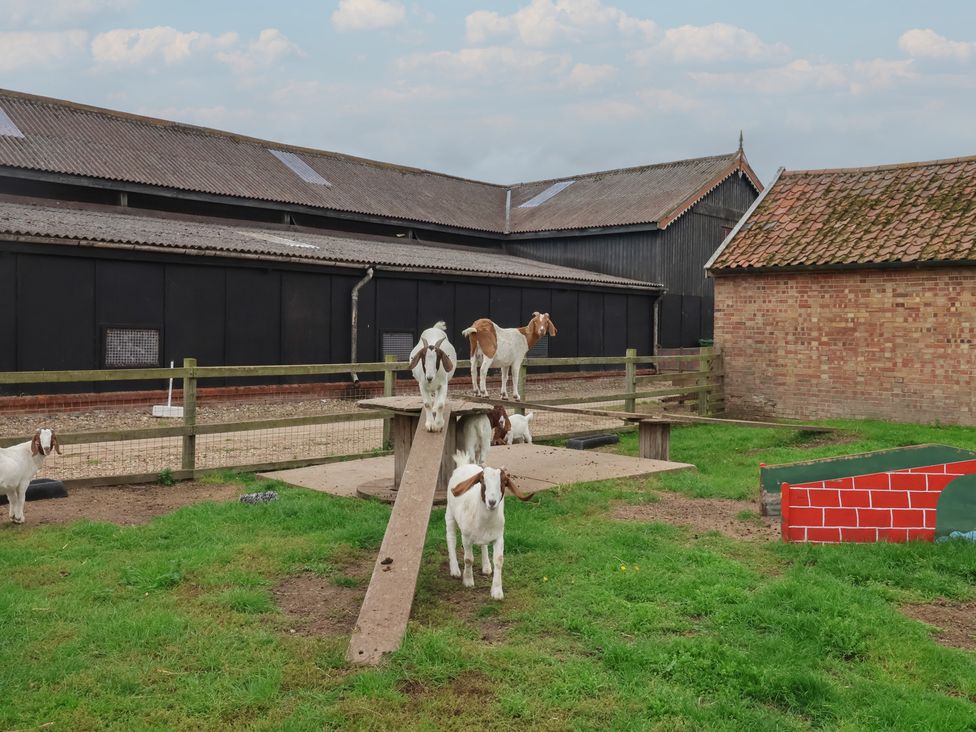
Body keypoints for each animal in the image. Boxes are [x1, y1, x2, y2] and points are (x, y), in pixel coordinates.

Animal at [445, 451, 529, 600]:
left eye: (504, 482)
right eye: (482, 481)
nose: (491, 502)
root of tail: (464, 464)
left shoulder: (499, 537)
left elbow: (499, 560)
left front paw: (497, 592)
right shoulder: (466, 538)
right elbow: (468, 559)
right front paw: (468, 581)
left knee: (483, 545)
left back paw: (486, 567)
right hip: (450, 514)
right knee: (451, 539)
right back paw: (455, 570)